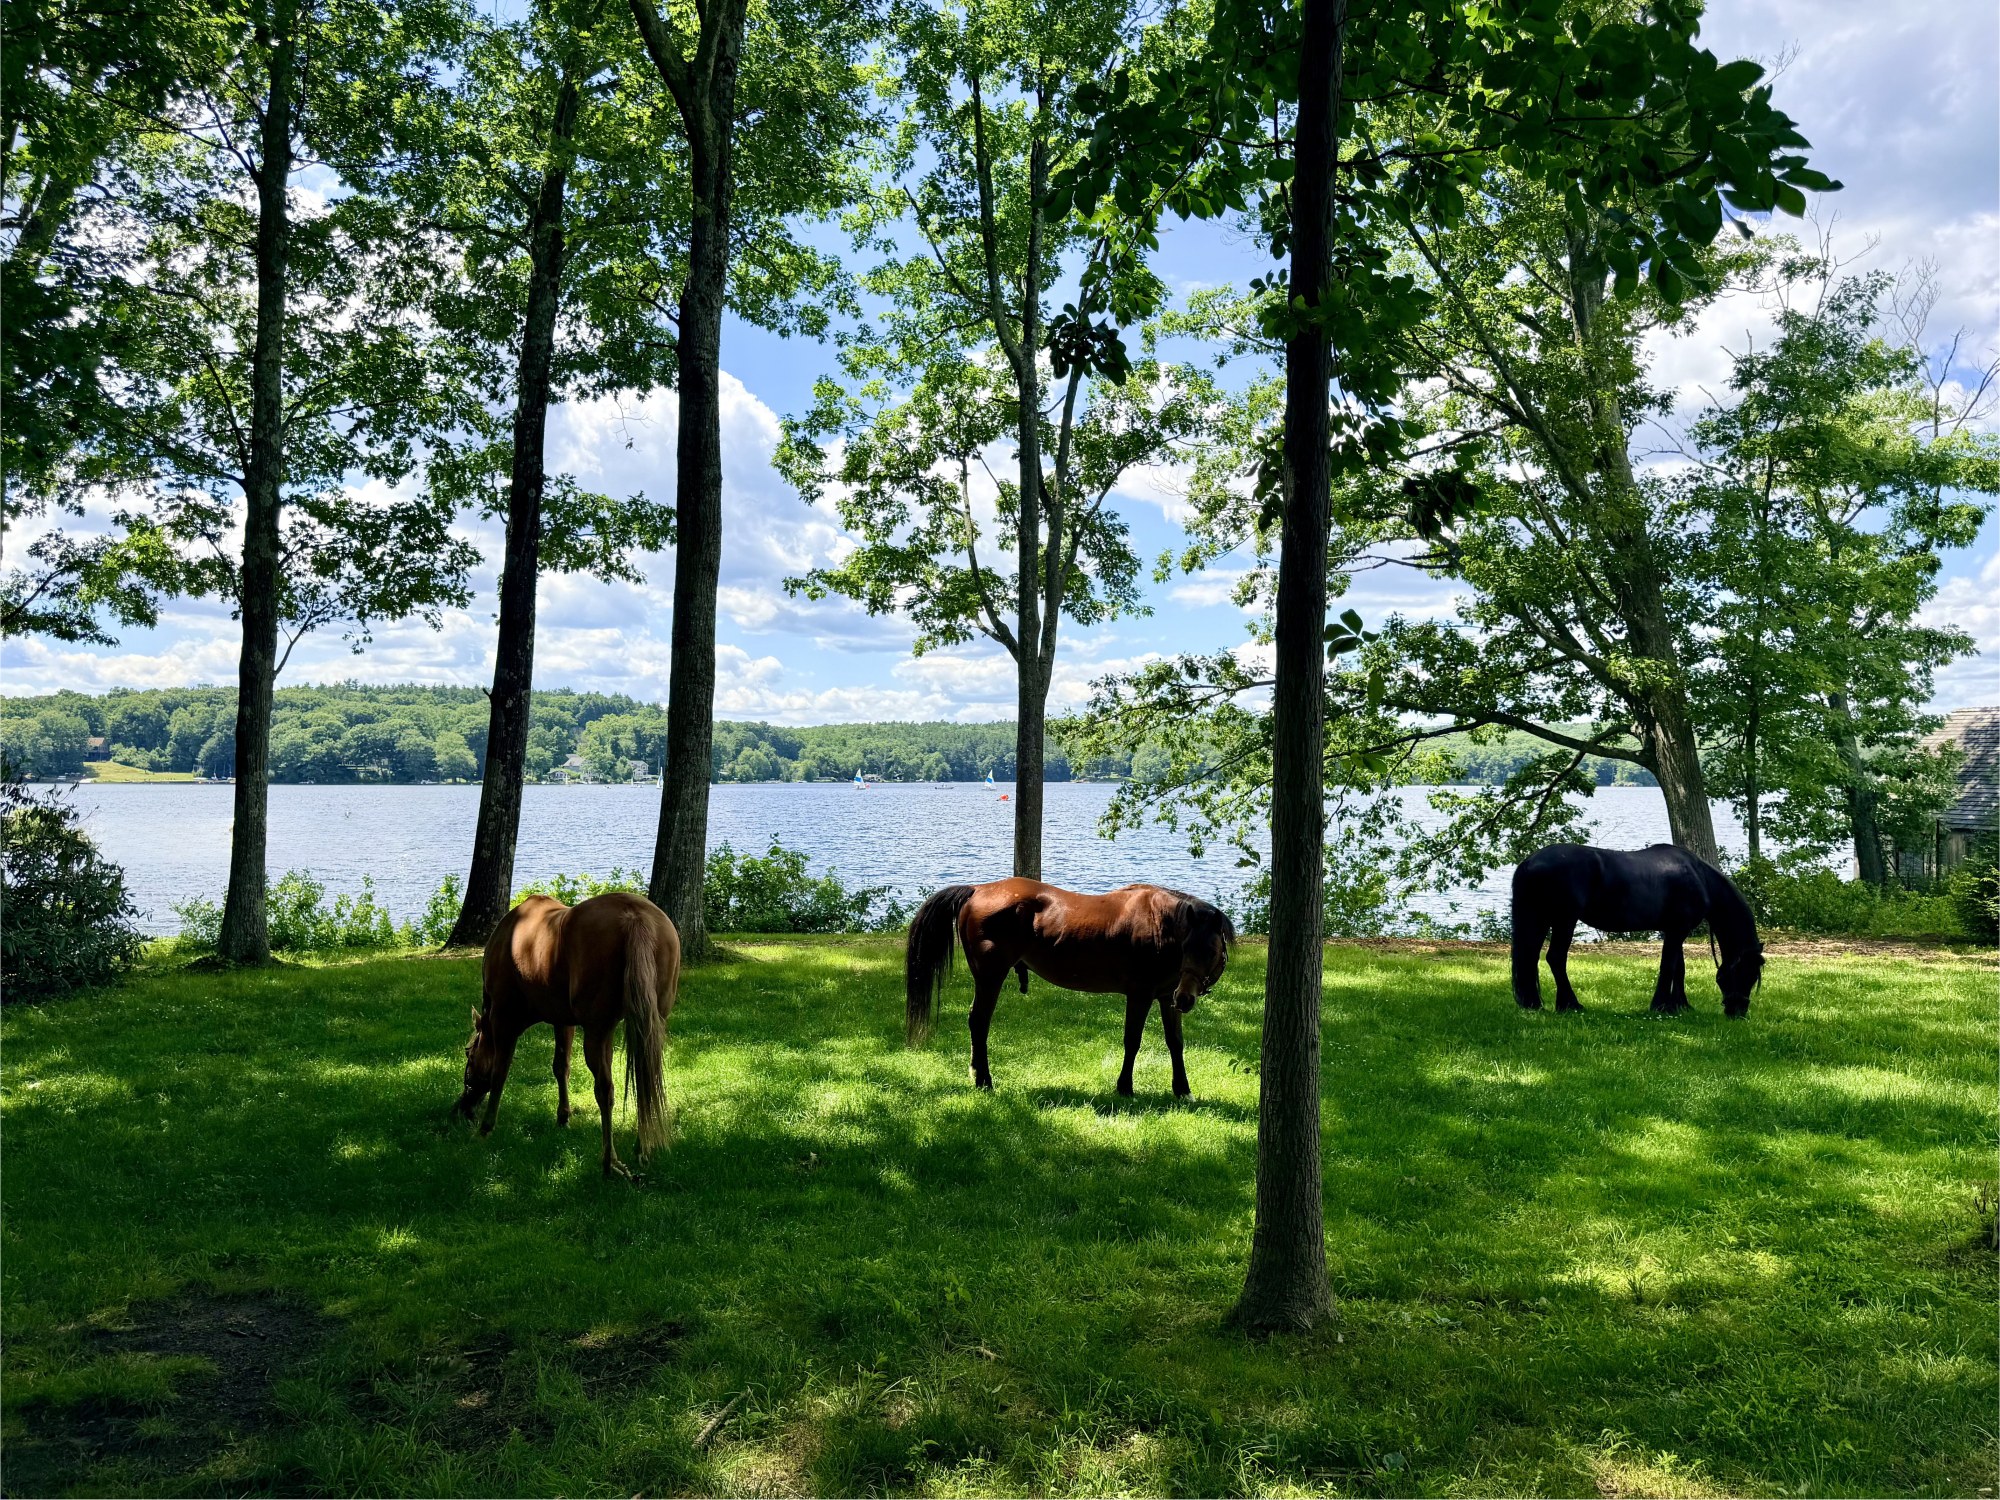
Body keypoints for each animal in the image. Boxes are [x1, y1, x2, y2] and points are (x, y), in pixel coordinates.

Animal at [455, 891, 681, 1178]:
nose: (463, 1108)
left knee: (605, 1090)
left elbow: (499, 1073)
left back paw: (609, 1160)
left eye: (469, 1053)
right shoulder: (563, 1021)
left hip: (598, 1029)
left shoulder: (505, 1018)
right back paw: (641, 1148)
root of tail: (634, 917)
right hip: (649, 1021)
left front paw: (486, 1128)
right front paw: (563, 1116)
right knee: (645, 1079)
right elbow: (561, 1067)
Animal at [905, 878, 1236, 1096]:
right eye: (1187, 948)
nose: (1187, 999)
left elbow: (1175, 1043)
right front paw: (1124, 1087)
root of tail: (977, 889)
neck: (1158, 923)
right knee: (979, 1022)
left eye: (1211, 951)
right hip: (990, 977)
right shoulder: (1139, 995)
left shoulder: (1166, 996)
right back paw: (984, 1080)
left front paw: (1182, 1090)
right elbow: (1132, 1041)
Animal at [1510, 843, 1764, 1016]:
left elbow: (1678, 968)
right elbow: (1668, 966)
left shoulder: (1674, 930)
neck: (1699, 876)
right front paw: (1661, 1005)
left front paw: (1680, 1005)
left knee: (1530, 958)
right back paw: (1570, 1004)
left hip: (1540, 920)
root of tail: (1529, 862)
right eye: (1746, 972)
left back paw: (1534, 1003)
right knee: (1555, 958)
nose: (1738, 1011)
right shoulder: (1677, 930)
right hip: (1564, 920)